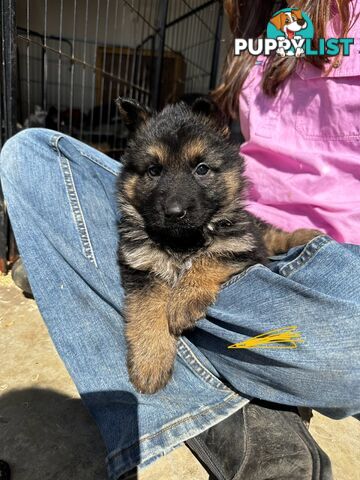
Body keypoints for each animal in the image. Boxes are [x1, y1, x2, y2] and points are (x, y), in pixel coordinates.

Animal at [116, 97, 320, 394]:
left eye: (201, 169)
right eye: (154, 171)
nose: (174, 212)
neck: (182, 240)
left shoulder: (240, 244)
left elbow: (209, 257)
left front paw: (184, 300)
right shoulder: (142, 268)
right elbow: (147, 311)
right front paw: (150, 361)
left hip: (254, 231)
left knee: (273, 234)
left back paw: (307, 235)